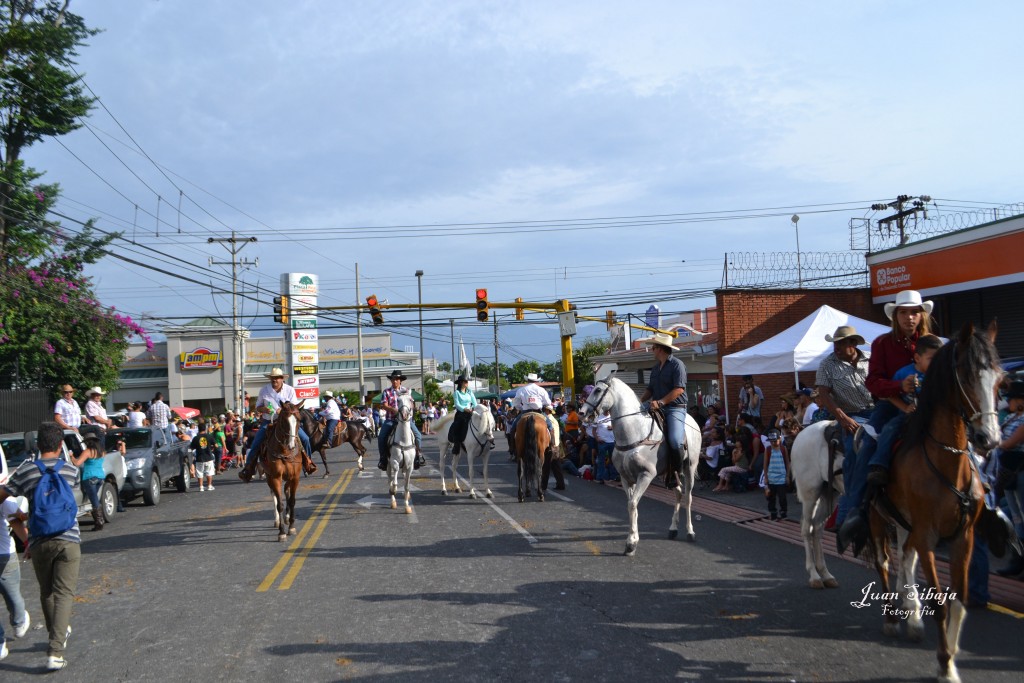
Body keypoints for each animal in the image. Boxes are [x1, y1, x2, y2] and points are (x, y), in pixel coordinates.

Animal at [258, 403, 301, 540]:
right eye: (284, 421)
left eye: (298, 420)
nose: (292, 445)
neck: (285, 452)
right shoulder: (275, 477)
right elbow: (280, 504)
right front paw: (282, 532)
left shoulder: (295, 477)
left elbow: (292, 501)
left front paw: (291, 527)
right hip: (269, 477)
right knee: (274, 495)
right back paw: (277, 521)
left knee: (286, 491)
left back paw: (287, 518)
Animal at [581, 376, 700, 557]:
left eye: (598, 390)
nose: (582, 413)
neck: (635, 434)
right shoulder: (626, 478)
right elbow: (632, 505)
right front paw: (632, 542)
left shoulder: (645, 475)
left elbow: (632, 504)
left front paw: (631, 542)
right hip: (669, 473)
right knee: (679, 494)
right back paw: (673, 529)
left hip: (689, 468)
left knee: (688, 497)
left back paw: (690, 531)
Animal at [790, 419, 847, 589]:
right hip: (811, 493)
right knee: (807, 528)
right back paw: (814, 575)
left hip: (830, 493)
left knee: (817, 528)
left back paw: (825, 574)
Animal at [868, 321, 1003, 683]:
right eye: (967, 376)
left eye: (999, 379)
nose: (989, 439)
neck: (946, 461)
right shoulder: (928, 535)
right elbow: (940, 603)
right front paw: (943, 664)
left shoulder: (962, 536)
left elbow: (959, 601)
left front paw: (953, 658)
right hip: (876, 517)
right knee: (883, 561)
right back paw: (891, 618)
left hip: (904, 523)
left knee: (905, 558)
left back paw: (911, 616)